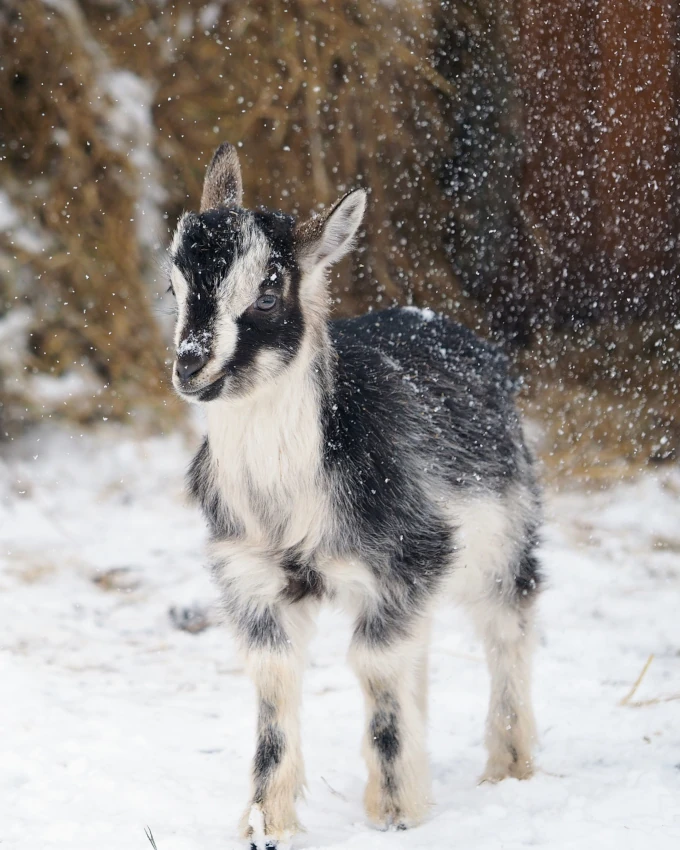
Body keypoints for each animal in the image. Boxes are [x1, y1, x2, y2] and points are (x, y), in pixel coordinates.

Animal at [168, 143, 542, 849]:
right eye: (172, 287)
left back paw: (510, 769)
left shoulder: (406, 556)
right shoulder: (252, 578)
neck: (287, 496)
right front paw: (267, 823)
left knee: (507, 627)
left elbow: (375, 668)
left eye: (267, 293)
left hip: (505, 530)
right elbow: (276, 684)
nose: (190, 364)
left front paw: (395, 813)